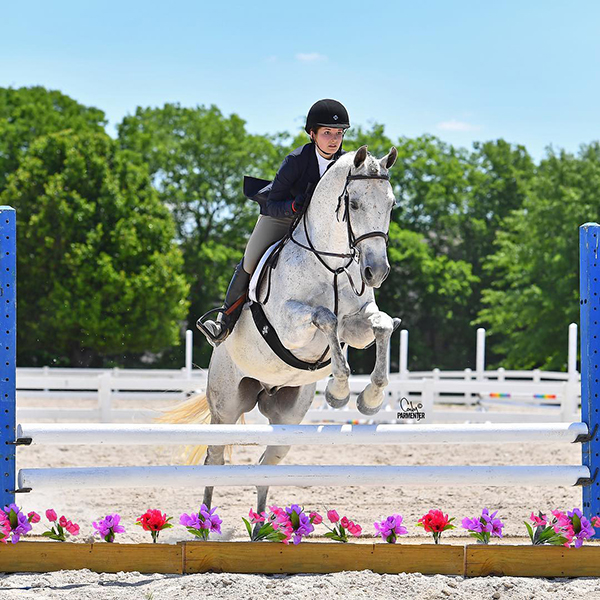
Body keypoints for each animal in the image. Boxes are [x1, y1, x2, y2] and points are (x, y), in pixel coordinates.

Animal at [164, 146, 398, 516]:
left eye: (391, 204)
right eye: (355, 204)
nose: (376, 272)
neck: (331, 264)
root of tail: (265, 388)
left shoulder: (358, 324)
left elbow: (381, 325)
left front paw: (369, 399)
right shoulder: (290, 325)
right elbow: (325, 317)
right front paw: (339, 391)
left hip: (288, 415)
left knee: (267, 463)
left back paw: (262, 523)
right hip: (226, 406)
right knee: (214, 458)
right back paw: (204, 521)